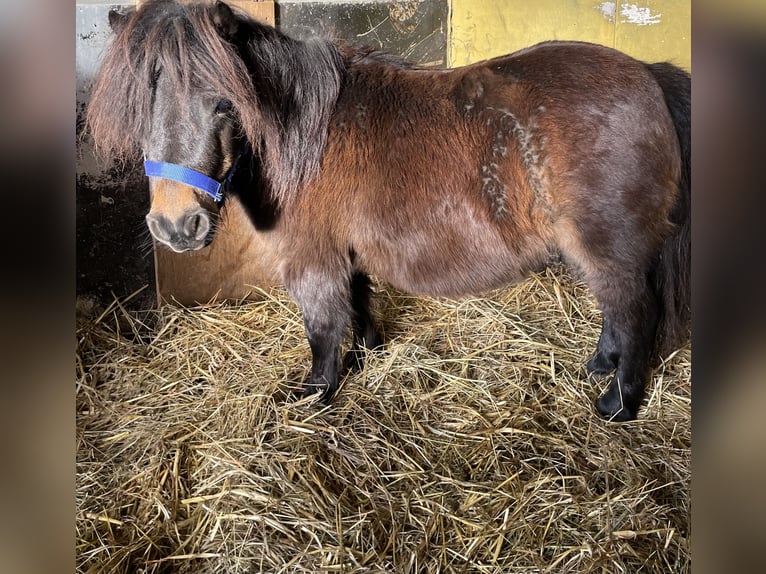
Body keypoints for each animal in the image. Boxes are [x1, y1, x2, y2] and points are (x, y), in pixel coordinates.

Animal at [87, 0, 692, 424]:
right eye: (137, 106)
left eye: (222, 103)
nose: (177, 226)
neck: (306, 136)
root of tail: (649, 76)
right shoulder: (346, 255)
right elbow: (357, 307)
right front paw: (365, 356)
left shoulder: (313, 260)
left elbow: (322, 328)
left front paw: (317, 392)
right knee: (617, 312)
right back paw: (599, 368)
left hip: (609, 249)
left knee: (635, 313)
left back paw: (617, 404)